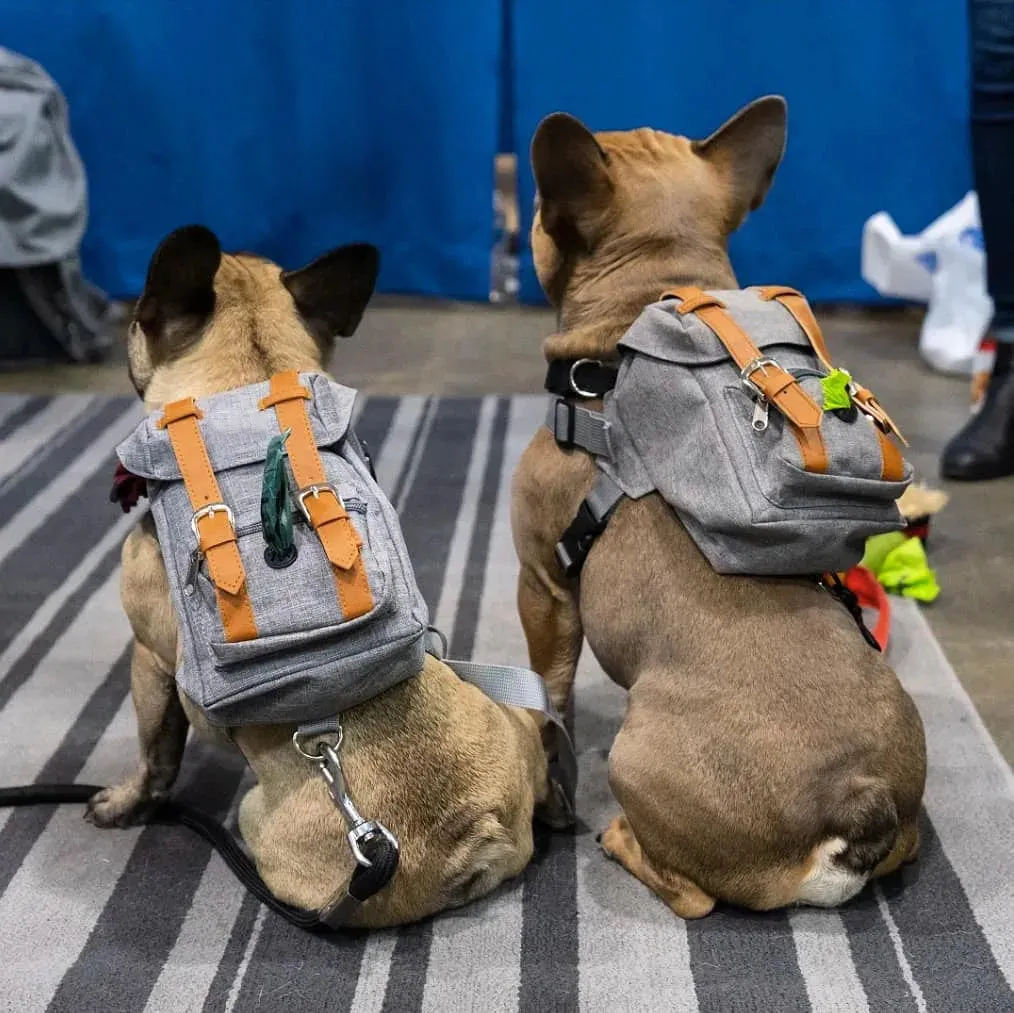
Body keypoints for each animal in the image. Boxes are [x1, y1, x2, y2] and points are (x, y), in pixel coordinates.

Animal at [90, 230, 551, 928]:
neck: (248, 393)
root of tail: (471, 837)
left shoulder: (148, 660)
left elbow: (155, 754)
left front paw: (124, 803)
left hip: (261, 824)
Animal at [515, 98, 928, 916]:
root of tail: (859, 804)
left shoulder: (542, 588)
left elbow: (553, 699)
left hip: (640, 758)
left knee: (693, 896)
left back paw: (621, 841)